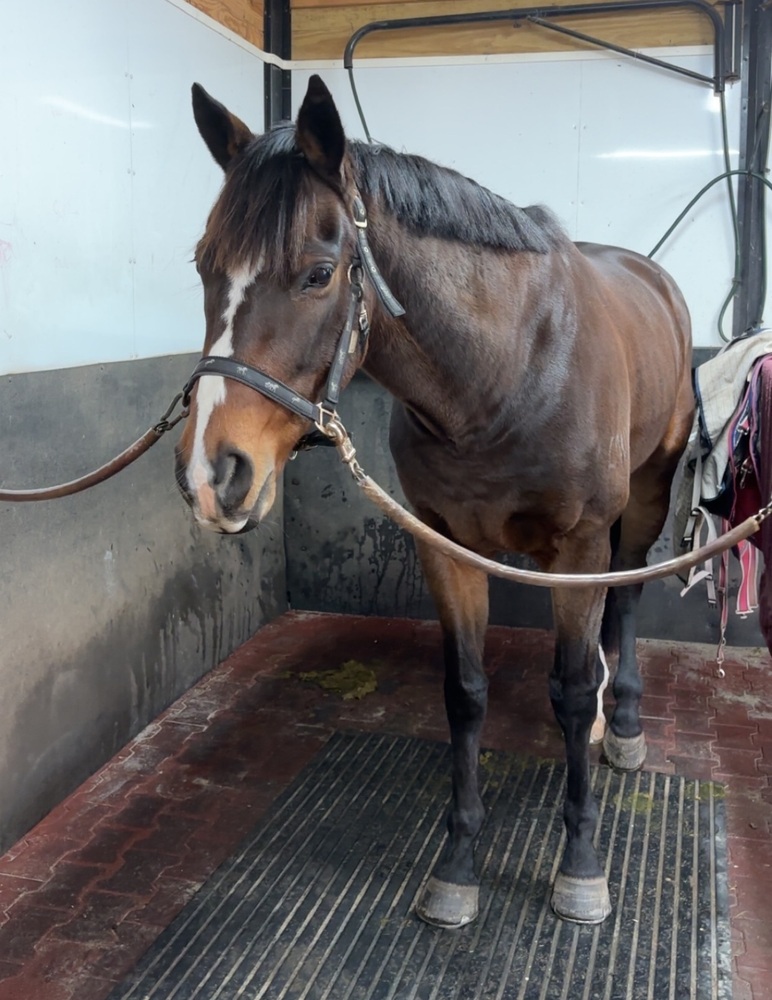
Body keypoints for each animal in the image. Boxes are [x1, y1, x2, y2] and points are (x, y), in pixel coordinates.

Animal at [175, 74, 694, 928]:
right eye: (203, 265)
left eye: (317, 274)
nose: (212, 474)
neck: (508, 372)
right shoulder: (446, 547)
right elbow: (466, 694)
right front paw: (457, 865)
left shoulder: (581, 546)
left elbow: (570, 687)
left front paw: (581, 864)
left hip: (646, 495)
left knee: (624, 599)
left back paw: (620, 726)